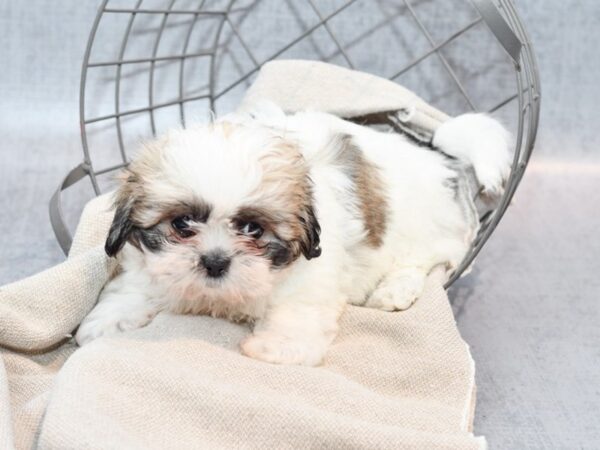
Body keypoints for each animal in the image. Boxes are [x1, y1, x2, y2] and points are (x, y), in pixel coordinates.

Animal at [75, 106, 510, 366]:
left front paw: (276, 347)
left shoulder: (311, 276)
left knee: (428, 261)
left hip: (427, 233)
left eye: (252, 229)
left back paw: (395, 290)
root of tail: (443, 160)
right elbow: (138, 284)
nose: (214, 261)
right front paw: (108, 320)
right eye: (182, 225)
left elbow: (296, 310)